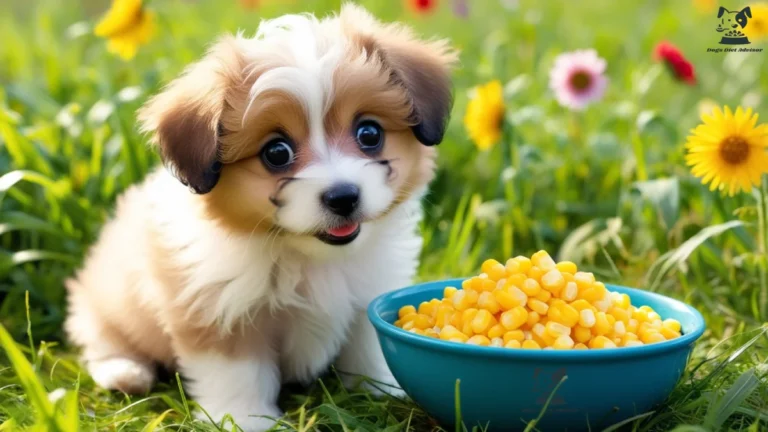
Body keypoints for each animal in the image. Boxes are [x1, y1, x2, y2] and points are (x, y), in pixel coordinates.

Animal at [64, 4, 456, 432]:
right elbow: (238, 372)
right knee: (102, 339)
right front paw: (246, 419)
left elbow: (367, 347)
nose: (343, 197)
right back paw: (124, 372)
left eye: (369, 133)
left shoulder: (368, 291)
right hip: (104, 303)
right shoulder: (219, 311)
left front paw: (380, 389)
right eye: (276, 153)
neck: (307, 257)